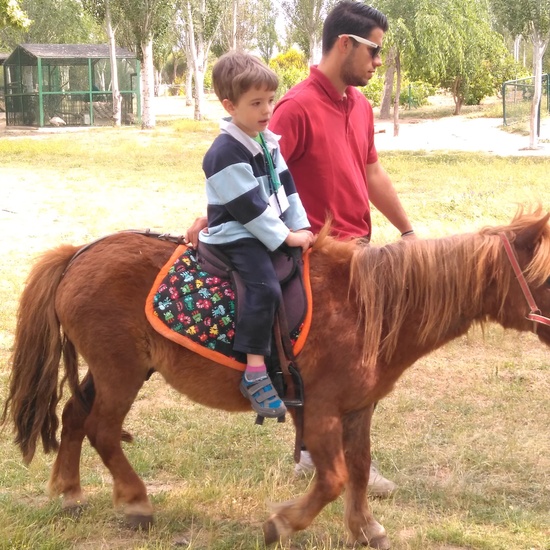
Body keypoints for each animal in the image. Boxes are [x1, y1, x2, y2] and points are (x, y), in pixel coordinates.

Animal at [3, 209, 550, 548]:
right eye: (547, 276)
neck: (368, 306)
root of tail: (77, 254)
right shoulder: (321, 409)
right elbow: (333, 478)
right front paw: (283, 524)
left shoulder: (358, 408)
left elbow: (359, 468)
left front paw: (365, 528)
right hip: (120, 372)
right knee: (103, 430)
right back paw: (135, 503)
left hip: (115, 369)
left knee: (74, 417)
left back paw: (70, 493)